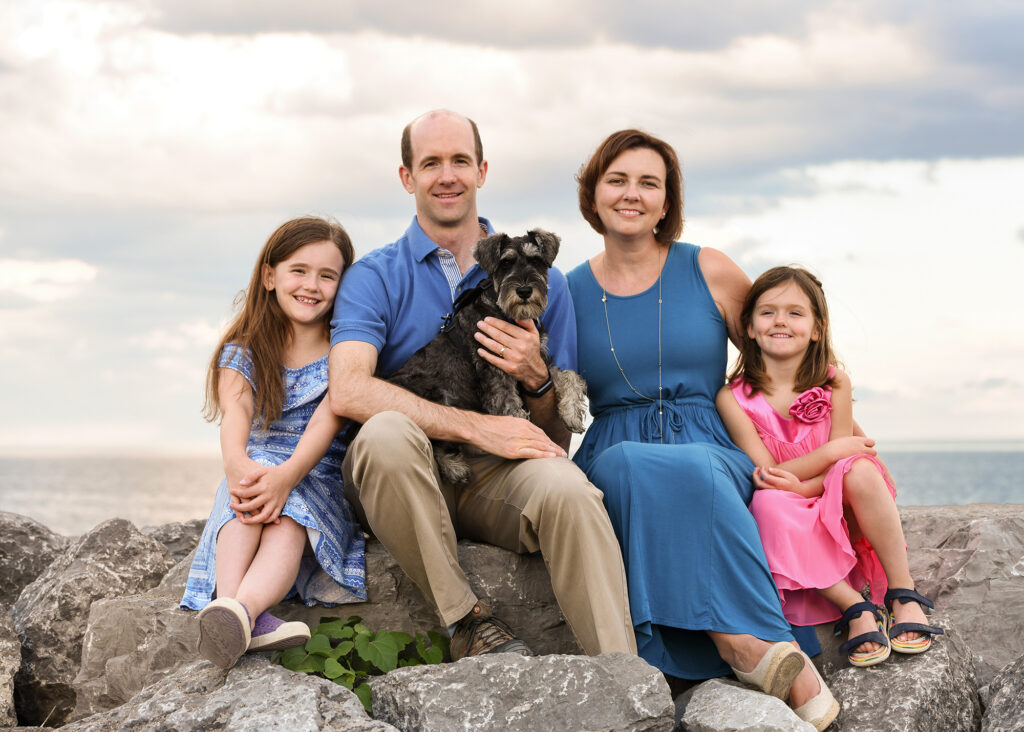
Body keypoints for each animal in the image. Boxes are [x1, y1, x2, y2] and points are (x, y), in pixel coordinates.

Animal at [387, 226, 589, 483]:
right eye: (506, 263)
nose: (524, 290)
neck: (506, 313)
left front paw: (571, 413)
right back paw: (454, 467)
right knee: (434, 434)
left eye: (536, 260)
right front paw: (523, 437)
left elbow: (568, 375)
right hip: (432, 390)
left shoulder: (535, 359)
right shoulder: (495, 372)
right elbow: (510, 408)